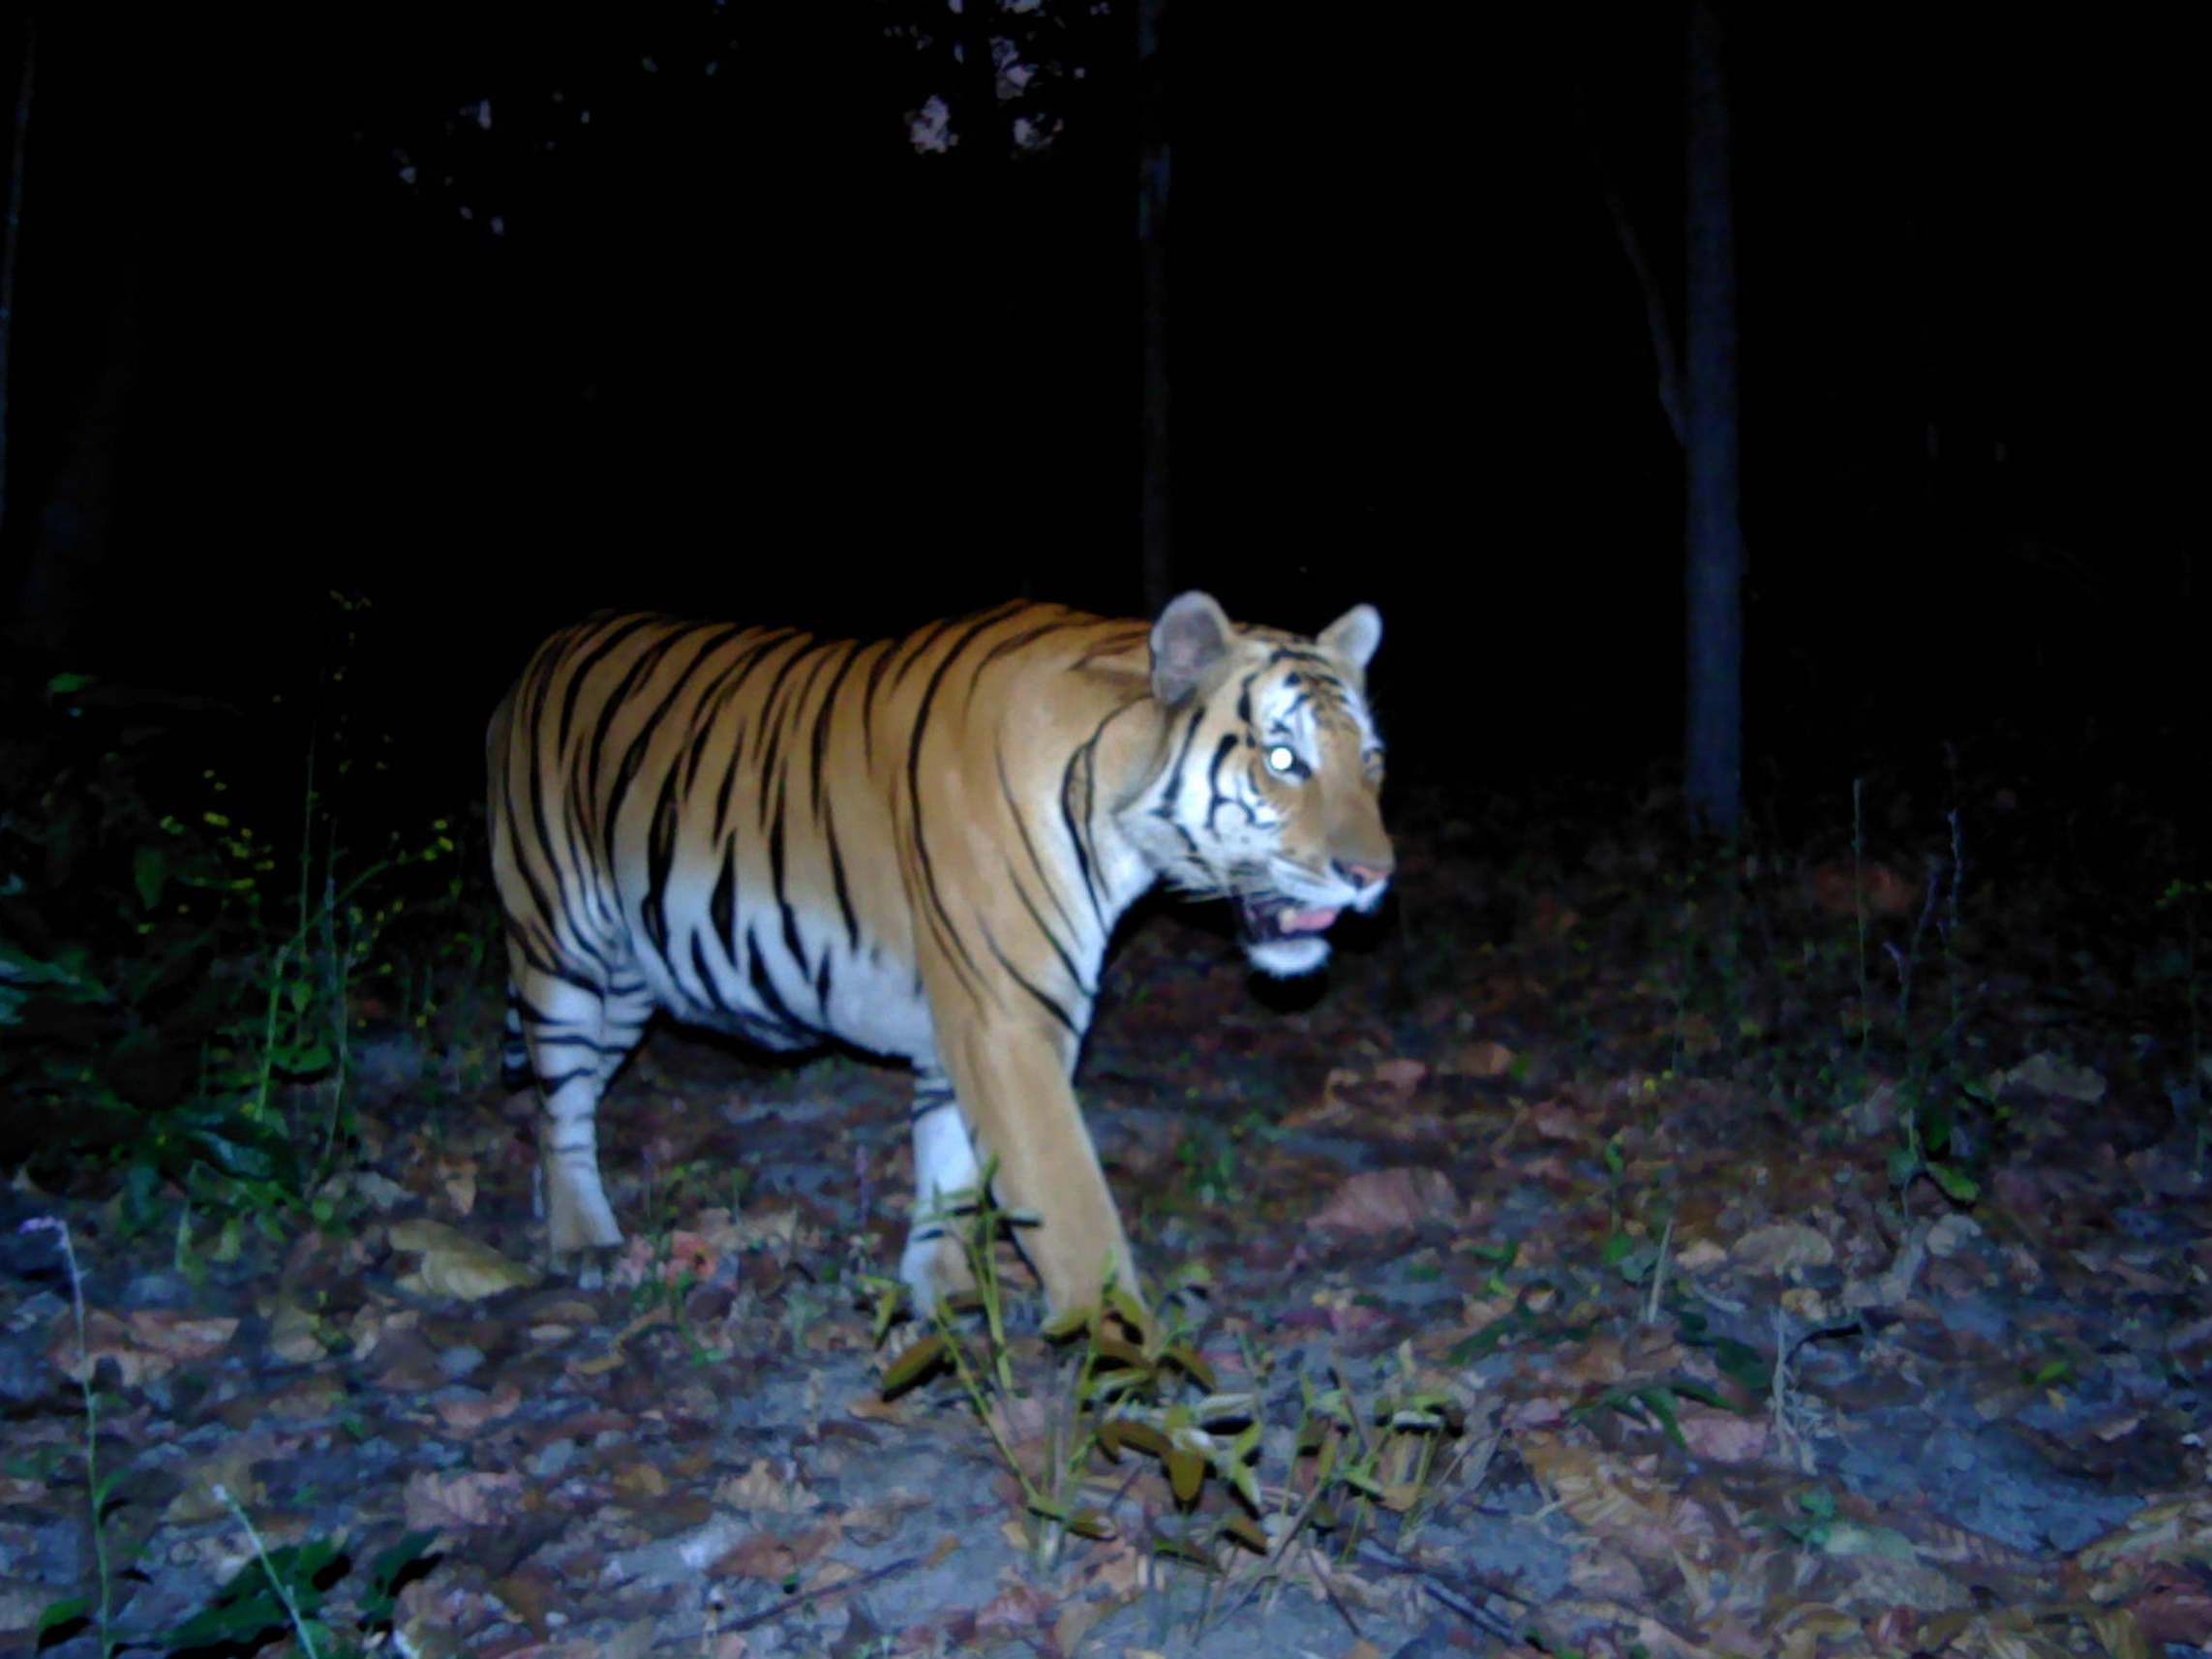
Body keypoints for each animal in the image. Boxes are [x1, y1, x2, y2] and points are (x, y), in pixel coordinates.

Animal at [485, 592, 1392, 1319]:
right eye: (1282, 760)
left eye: (1371, 762)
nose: (1375, 876)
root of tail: (541, 655)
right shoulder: (1010, 1023)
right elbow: (1073, 1217)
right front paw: (1136, 1375)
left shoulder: (965, 1027)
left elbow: (948, 1173)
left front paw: (939, 1296)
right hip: (563, 950)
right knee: (561, 1101)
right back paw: (584, 1241)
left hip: (633, 981)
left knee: (558, 1097)